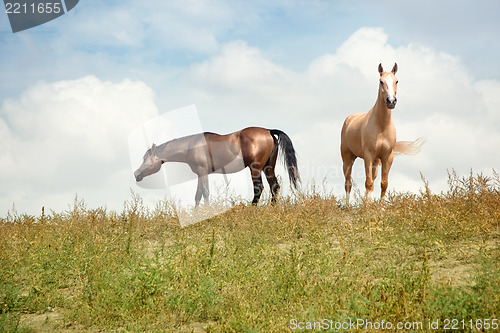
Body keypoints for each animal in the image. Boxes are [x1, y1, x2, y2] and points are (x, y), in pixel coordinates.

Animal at [133, 126, 300, 205]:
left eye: (146, 158)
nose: (136, 174)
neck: (192, 146)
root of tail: (268, 131)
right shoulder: (201, 173)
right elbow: (198, 195)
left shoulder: (202, 171)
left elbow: (205, 193)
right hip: (268, 167)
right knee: (274, 186)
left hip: (255, 169)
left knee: (259, 188)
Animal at [340, 61, 422, 204]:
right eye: (381, 81)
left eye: (396, 81)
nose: (391, 101)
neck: (381, 127)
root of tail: (349, 119)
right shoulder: (368, 156)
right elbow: (368, 183)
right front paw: (367, 207)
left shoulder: (386, 157)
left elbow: (383, 183)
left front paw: (380, 207)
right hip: (347, 158)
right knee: (348, 183)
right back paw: (347, 206)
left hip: (375, 162)